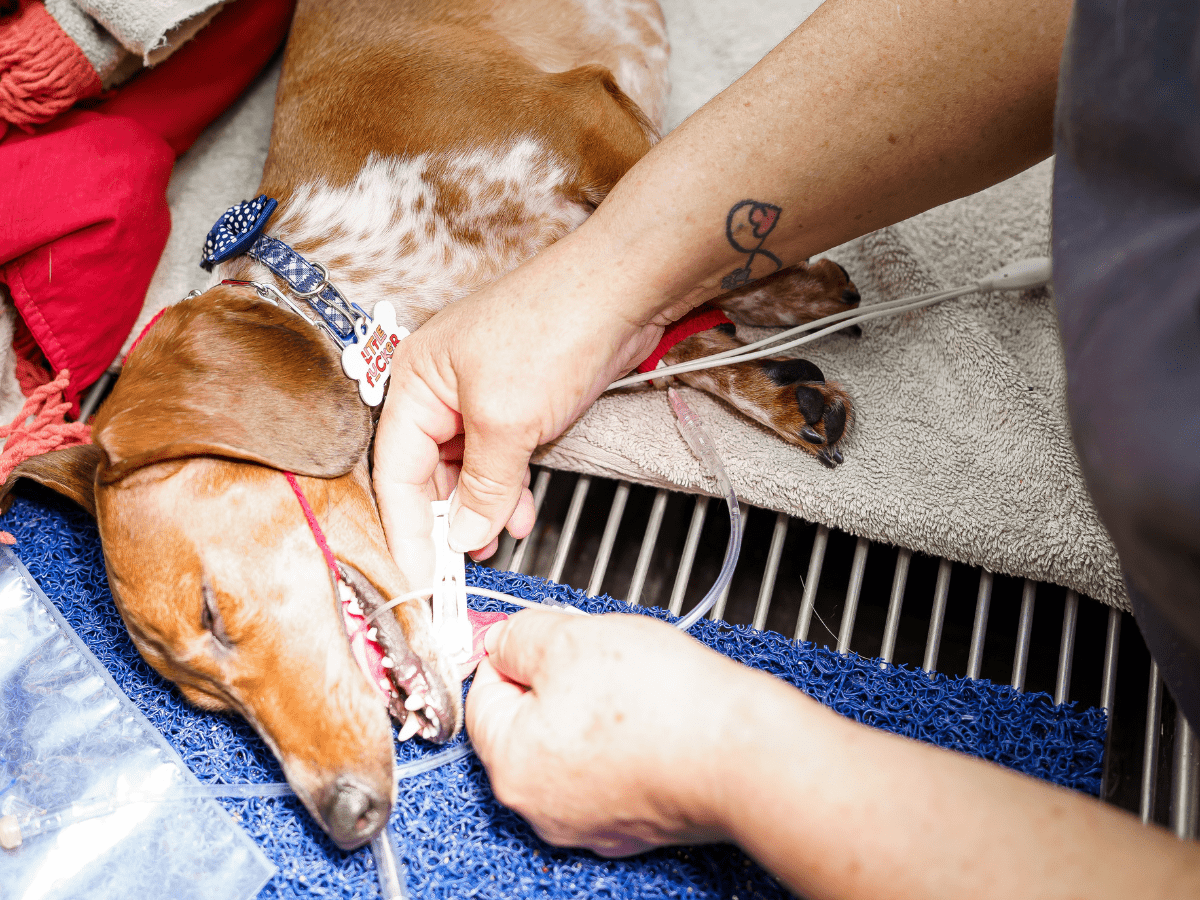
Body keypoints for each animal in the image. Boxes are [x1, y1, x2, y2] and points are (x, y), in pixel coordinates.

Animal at [4, 0, 859, 854]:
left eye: (212, 612)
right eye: (205, 701)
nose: (347, 818)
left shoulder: (592, 129)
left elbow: (700, 244)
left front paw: (795, 293)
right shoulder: (591, 313)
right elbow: (681, 334)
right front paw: (782, 381)